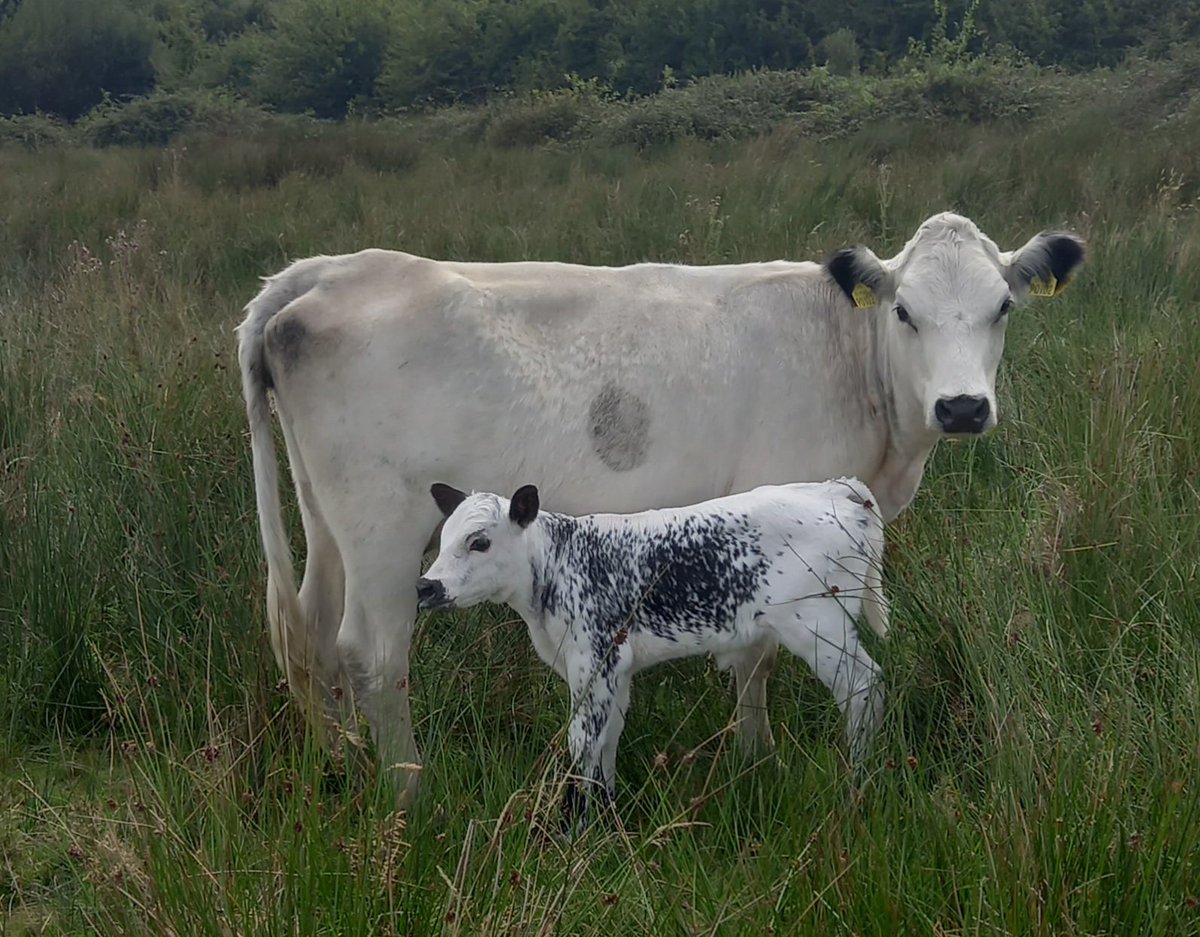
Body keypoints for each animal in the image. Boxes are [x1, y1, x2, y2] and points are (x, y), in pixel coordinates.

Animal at [416, 478, 889, 825]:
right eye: (444, 537)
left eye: (479, 541)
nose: (426, 586)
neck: (556, 567)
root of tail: (834, 489)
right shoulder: (615, 670)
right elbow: (608, 738)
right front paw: (606, 814)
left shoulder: (594, 660)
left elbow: (582, 741)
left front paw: (572, 826)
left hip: (817, 623)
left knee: (862, 685)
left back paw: (856, 781)